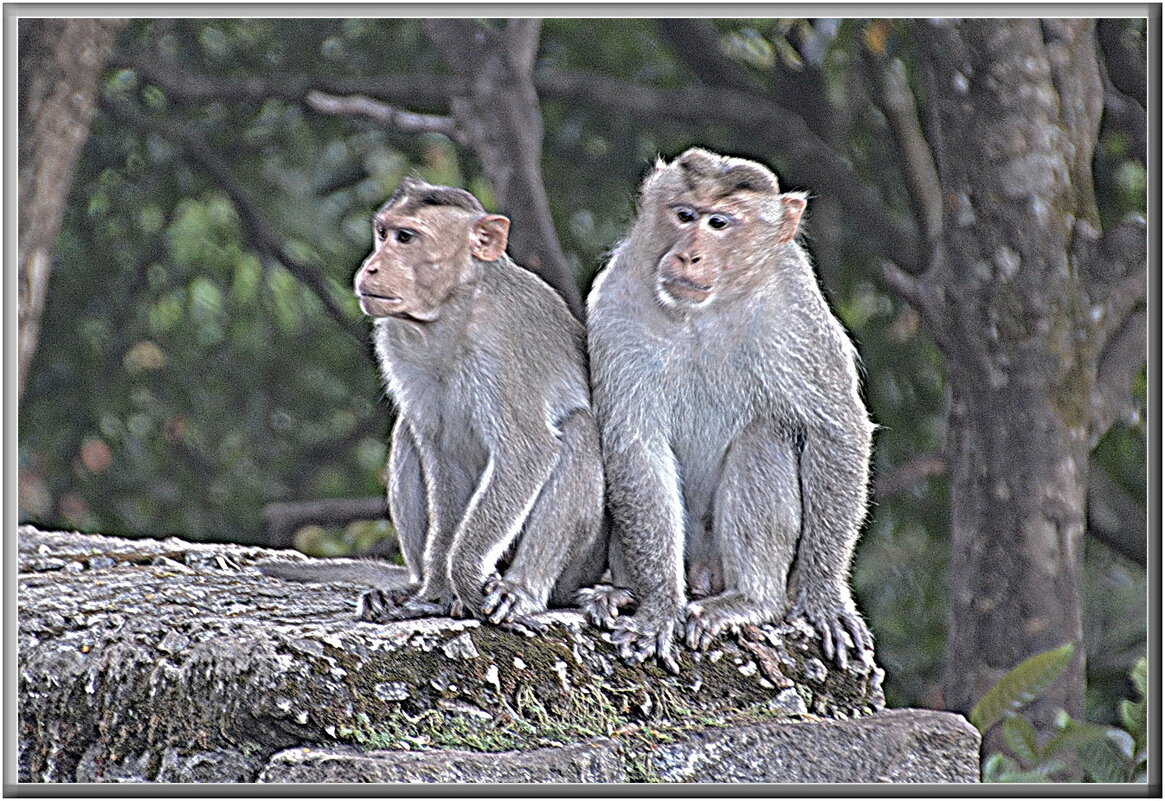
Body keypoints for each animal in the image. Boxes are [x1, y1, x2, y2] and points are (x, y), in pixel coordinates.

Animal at [266, 178, 605, 633]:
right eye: (383, 233)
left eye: (406, 238)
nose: (372, 267)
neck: (450, 311)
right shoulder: (395, 339)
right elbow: (440, 452)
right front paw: (439, 592)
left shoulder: (501, 339)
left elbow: (526, 451)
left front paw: (464, 577)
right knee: (407, 432)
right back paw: (418, 588)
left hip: (580, 565)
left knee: (579, 430)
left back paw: (521, 590)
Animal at [591, 148, 876, 670]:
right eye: (684, 215)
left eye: (719, 223)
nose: (688, 254)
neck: (705, 312)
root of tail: (703, 575)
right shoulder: (617, 304)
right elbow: (634, 445)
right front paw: (658, 607)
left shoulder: (796, 305)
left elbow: (835, 429)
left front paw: (824, 595)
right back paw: (619, 592)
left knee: (765, 436)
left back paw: (750, 600)